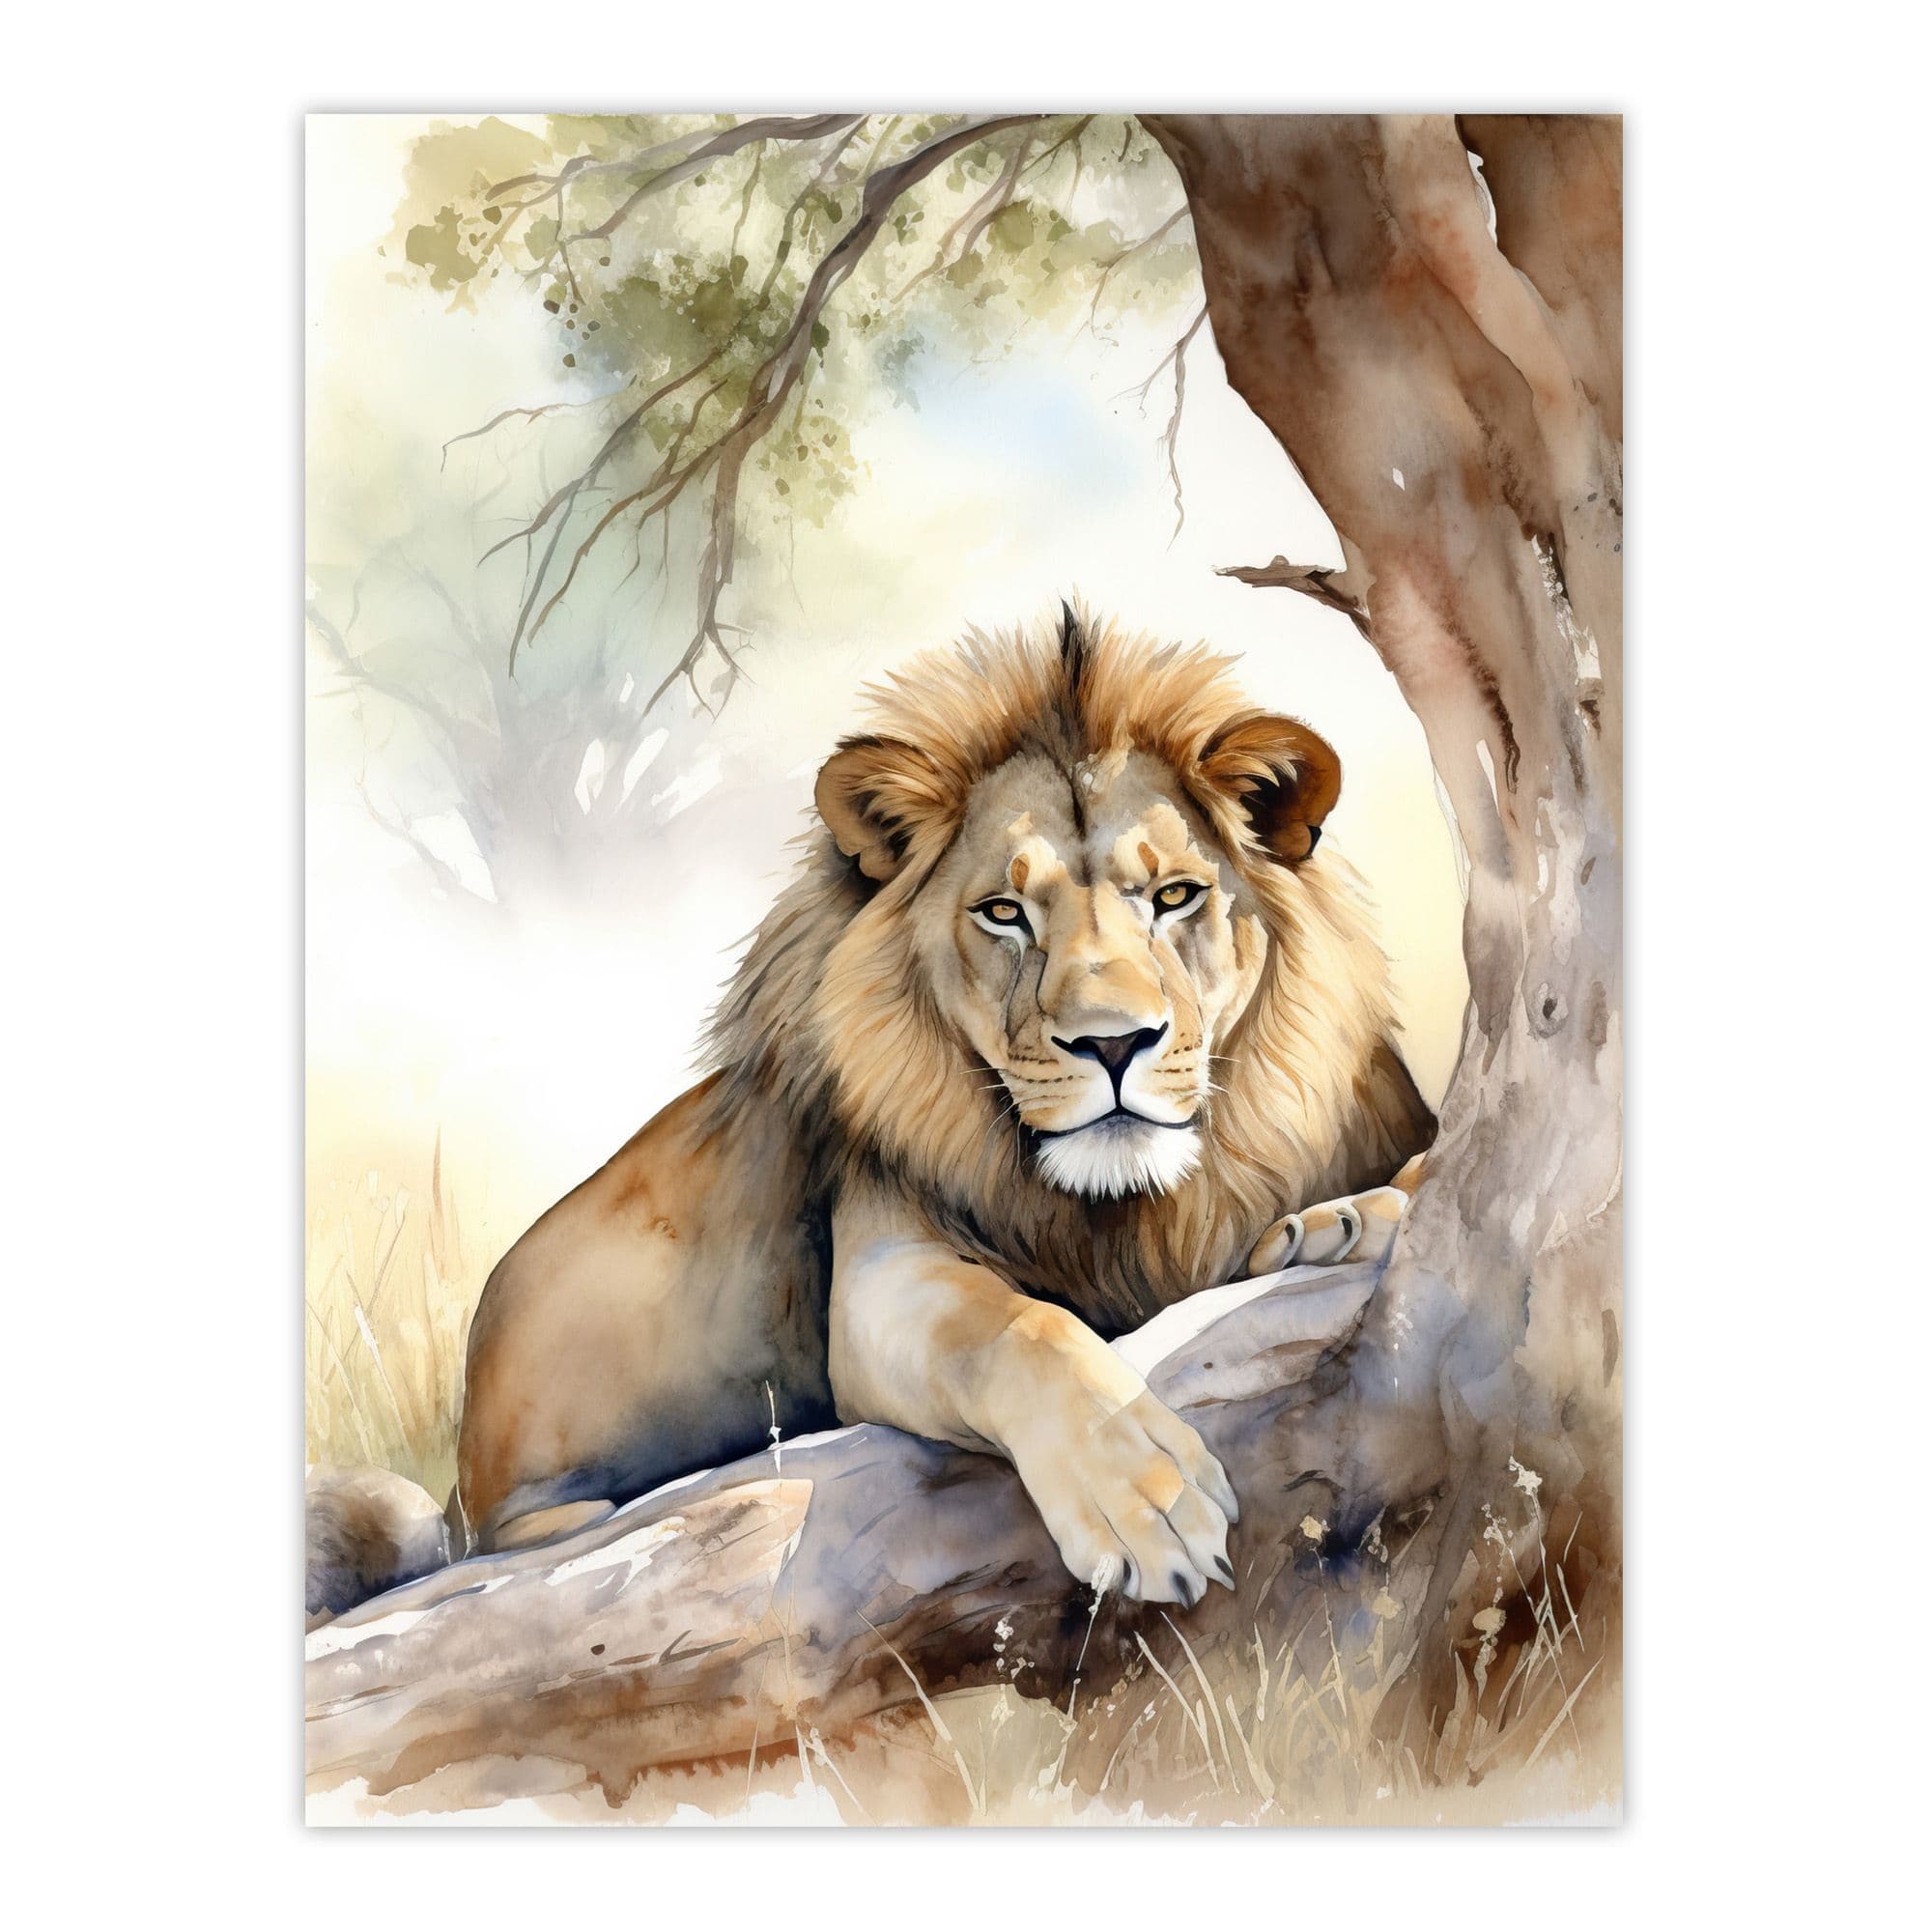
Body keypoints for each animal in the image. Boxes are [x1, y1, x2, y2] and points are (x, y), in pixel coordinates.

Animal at [306, 607, 1434, 1622]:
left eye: (1174, 896)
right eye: (1003, 913)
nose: (1112, 1044)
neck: (1124, 1206)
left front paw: (1334, 1224)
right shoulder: (885, 1277)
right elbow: (1017, 1327)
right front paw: (1144, 1501)